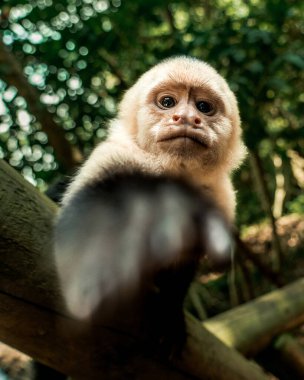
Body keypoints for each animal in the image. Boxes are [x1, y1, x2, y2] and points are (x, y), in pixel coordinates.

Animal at [53, 56, 246, 330]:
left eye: (203, 106)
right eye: (167, 102)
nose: (186, 117)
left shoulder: (221, 196)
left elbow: (185, 262)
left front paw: (170, 308)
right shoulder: (116, 155)